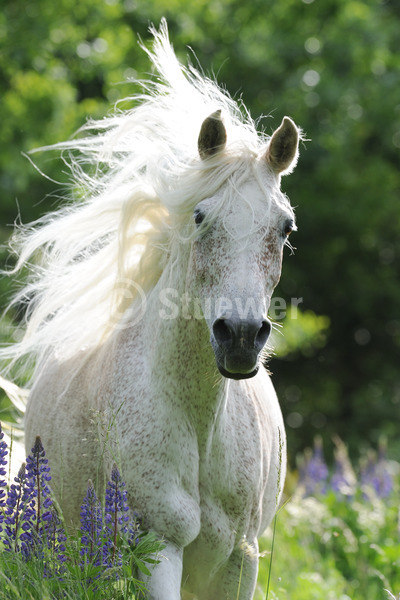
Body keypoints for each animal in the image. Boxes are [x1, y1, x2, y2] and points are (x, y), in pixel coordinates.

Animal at [2, 19, 300, 600]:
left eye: (284, 226)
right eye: (200, 216)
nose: (240, 336)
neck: (201, 423)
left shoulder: (241, 558)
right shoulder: (157, 549)